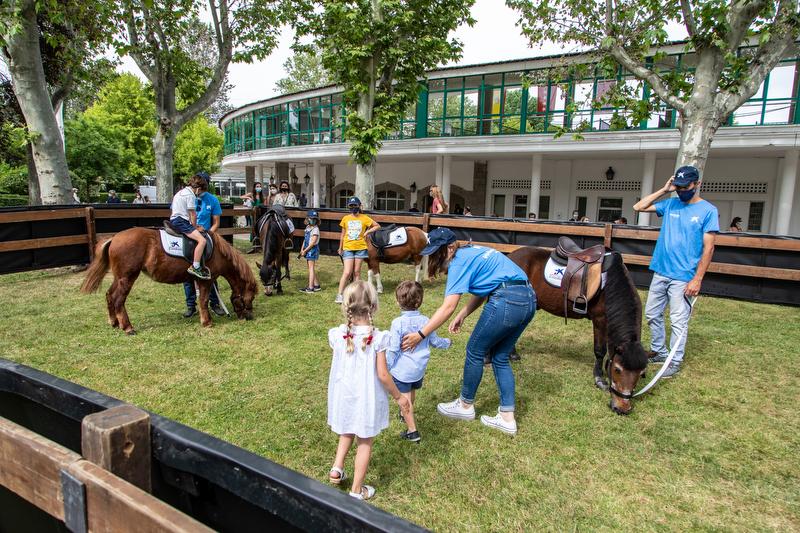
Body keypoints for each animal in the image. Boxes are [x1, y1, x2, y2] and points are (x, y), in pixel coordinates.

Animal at [81, 228, 256, 334]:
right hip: (127, 278)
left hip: (119, 278)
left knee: (109, 295)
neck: (218, 251)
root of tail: (114, 238)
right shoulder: (206, 281)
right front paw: (207, 322)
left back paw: (114, 322)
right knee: (118, 300)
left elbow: (201, 300)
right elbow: (204, 300)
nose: (249, 317)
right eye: (250, 297)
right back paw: (128, 327)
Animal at [506, 246, 648, 416]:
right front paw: (599, 379)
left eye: (641, 374)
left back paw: (513, 354)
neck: (610, 285)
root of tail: (510, 256)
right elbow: (600, 351)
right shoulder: (600, 320)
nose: (622, 408)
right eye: (617, 369)